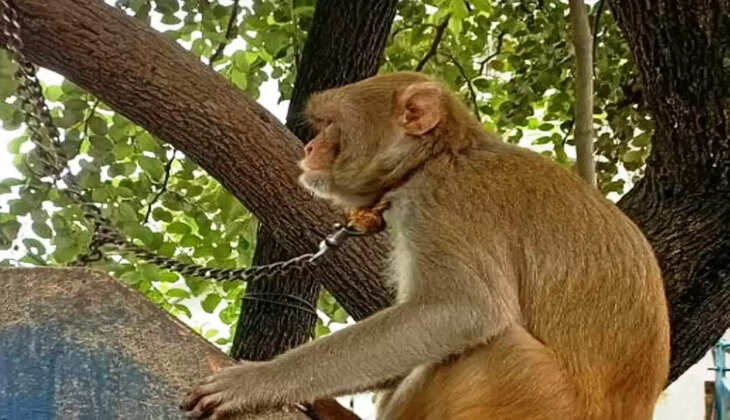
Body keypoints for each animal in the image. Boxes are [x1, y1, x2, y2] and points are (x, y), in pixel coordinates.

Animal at [182, 72, 670, 420]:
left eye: (331, 125)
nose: (311, 147)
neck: (441, 154)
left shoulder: (441, 203)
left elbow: (460, 310)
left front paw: (258, 381)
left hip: (536, 399)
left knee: (496, 343)